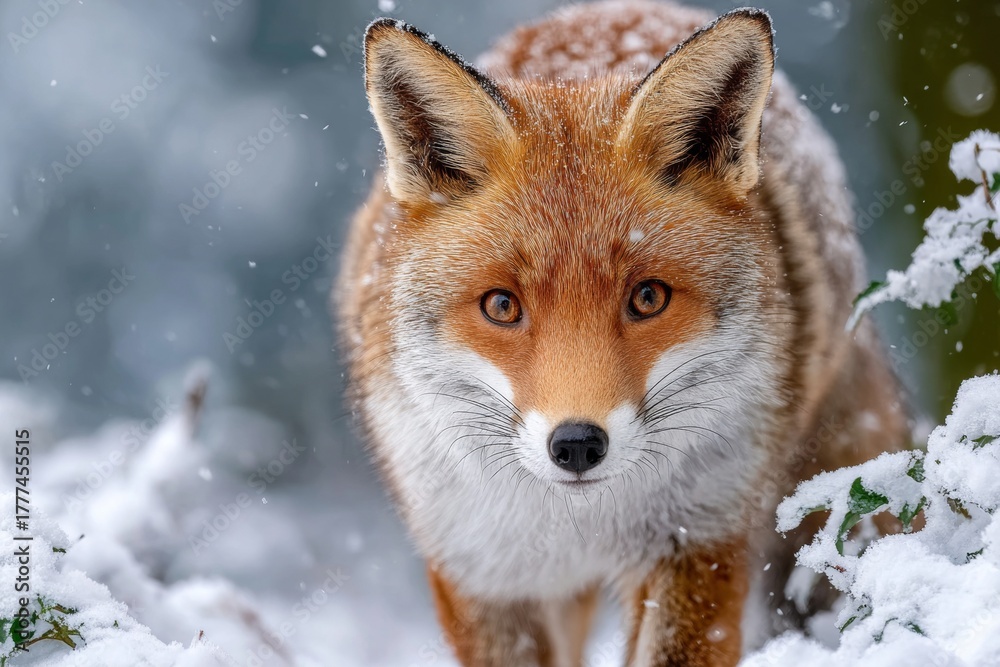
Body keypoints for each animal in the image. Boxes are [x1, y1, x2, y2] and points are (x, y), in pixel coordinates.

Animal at [335, 1, 908, 665]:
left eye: (647, 298)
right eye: (502, 306)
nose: (578, 444)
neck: (583, 523)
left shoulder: (700, 538)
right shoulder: (481, 575)